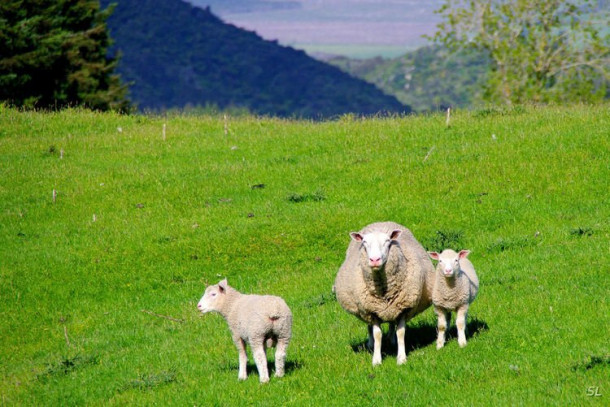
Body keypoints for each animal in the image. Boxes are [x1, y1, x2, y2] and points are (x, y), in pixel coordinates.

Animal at [332, 223, 436, 366]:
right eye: (364, 242)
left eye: (387, 241)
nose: (375, 260)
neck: (382, 289)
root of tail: (379, 222)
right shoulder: (371, 311)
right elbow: (377, 334)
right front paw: (376, 360)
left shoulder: (403, 308)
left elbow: (401, 332)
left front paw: (401, 358)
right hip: (364, 309)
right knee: (369, 326)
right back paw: (370, 344)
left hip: (392, 308)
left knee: (392, 323)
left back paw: (392, 340)